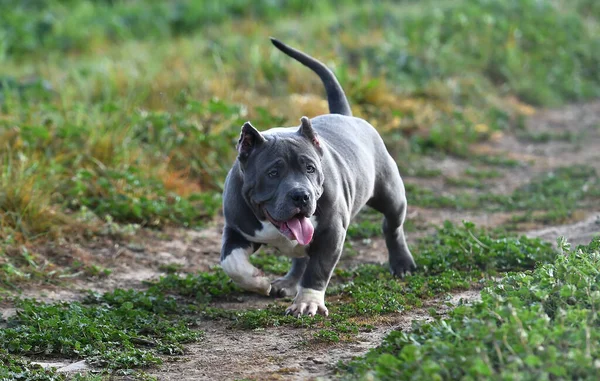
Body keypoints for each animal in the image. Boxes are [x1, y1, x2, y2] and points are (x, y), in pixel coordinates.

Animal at [220, 37, 418, 318]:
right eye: (273, 173)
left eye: (310, 168)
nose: (301, 195)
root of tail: (346, 115)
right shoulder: (236, 229)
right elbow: (232, 263)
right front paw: (258, 281)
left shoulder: (331, 234)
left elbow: (318, 269)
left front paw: (308, 301)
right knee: (300, 256)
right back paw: (287, 283)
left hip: (390, 194)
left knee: (392, 226)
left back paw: (402, 264)